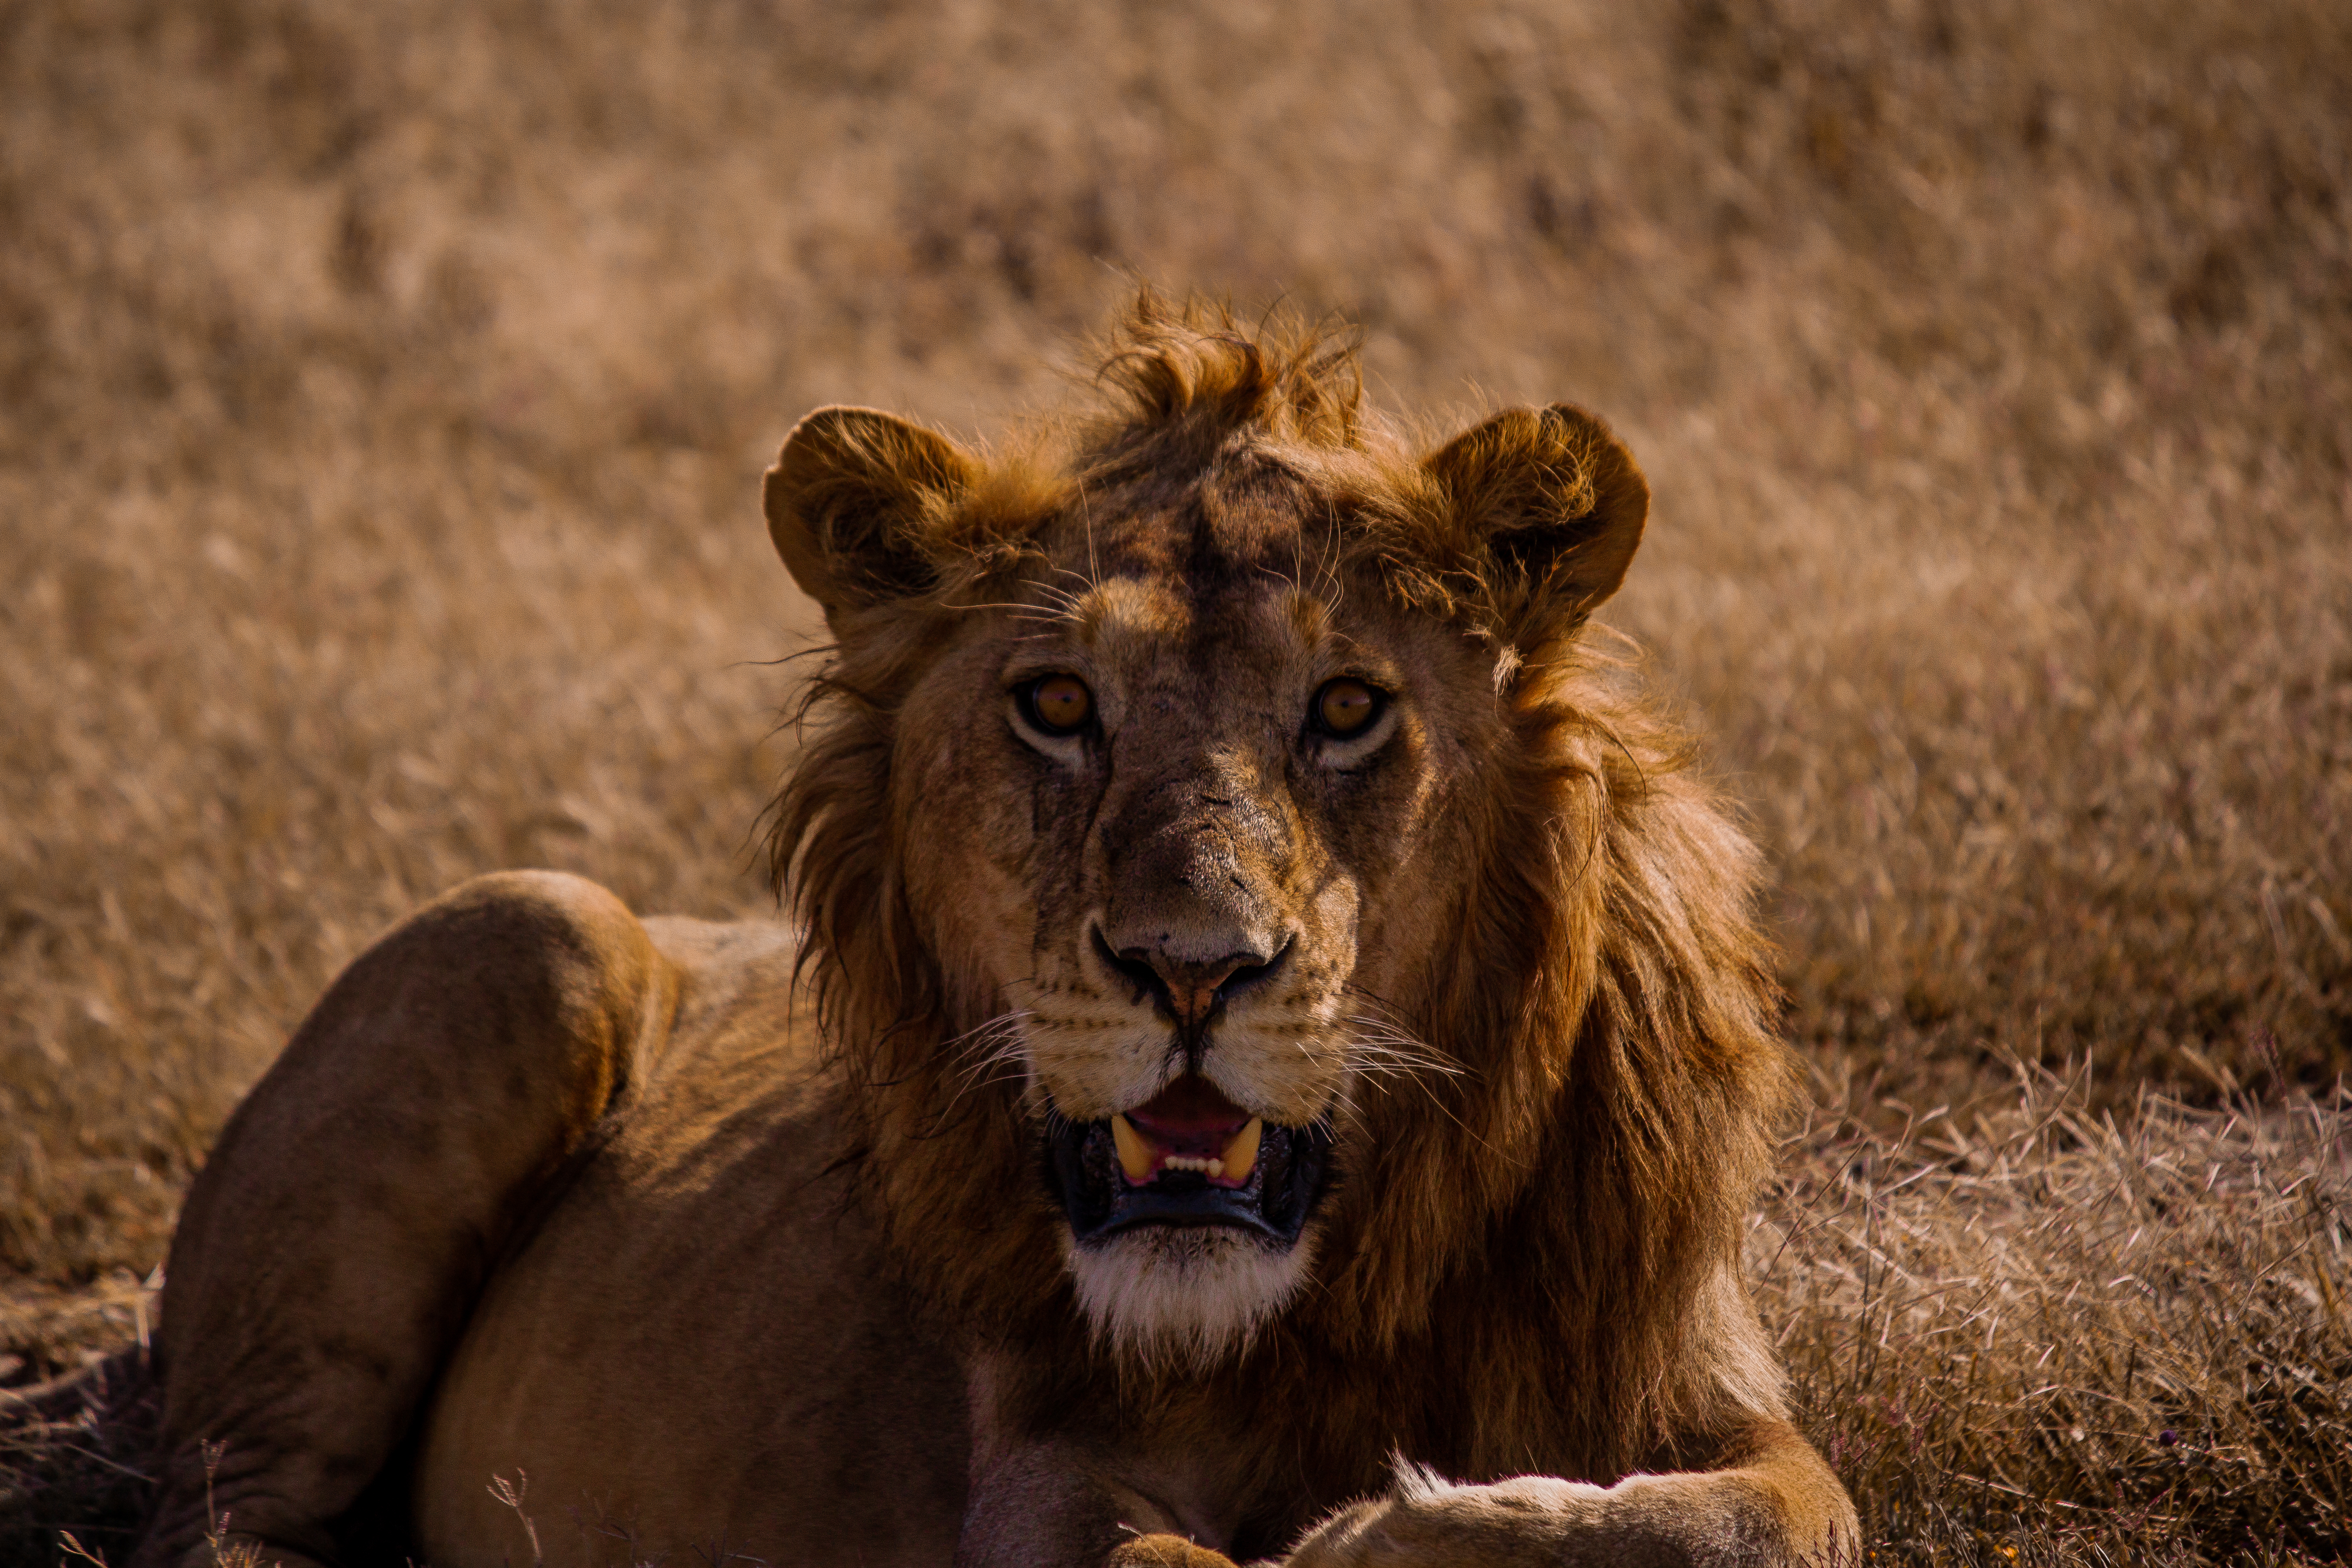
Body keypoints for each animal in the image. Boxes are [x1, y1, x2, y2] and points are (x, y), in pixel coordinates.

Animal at [129, 297, 1853, 1568]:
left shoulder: (1718, 1396)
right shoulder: (1036, 1469)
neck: (1345, 1291)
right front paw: (1362, 1535)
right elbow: (1168, 1565)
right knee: (222, 1523)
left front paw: (1404, 1518)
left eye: (1351, 709)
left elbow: (1762, 1519)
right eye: (1059, 706)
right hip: (523, 931)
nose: (1191, 971)